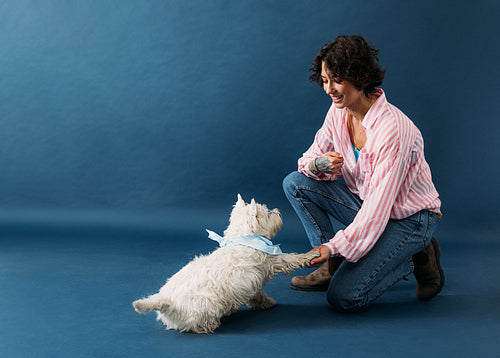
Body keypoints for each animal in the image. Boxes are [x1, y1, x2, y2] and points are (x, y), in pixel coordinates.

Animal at [132, 194, 320, 334]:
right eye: (267, 213)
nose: (278, 212)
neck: (244, 238)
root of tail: (167, 301)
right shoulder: (272, 261)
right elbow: (290, 258)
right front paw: (312, 254)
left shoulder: (250, 283)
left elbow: (257, 294)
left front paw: (266, 302)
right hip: (203, 307)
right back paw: (211, 325)